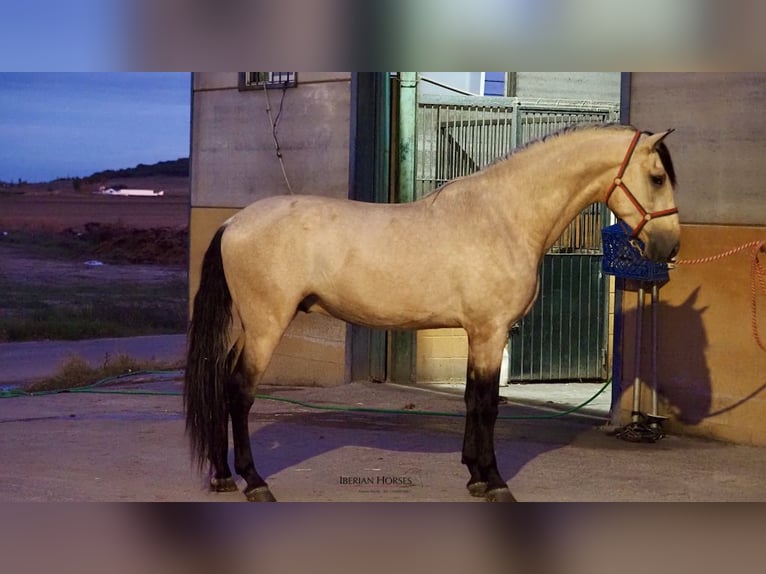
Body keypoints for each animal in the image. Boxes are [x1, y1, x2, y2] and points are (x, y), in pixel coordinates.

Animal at [186, 124, 684, 502]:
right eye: (658, 177)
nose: (670, 247)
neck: (504, 216)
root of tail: (234, 222)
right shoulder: (490, 331)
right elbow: (486, 404)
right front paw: (494, 481)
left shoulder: (478, 333)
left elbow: (471, 399)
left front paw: (474, 475)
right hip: (266, 326)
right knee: (239, 391)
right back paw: (254, 481)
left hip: (248, 326)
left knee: (220, 380)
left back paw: (223, 475)